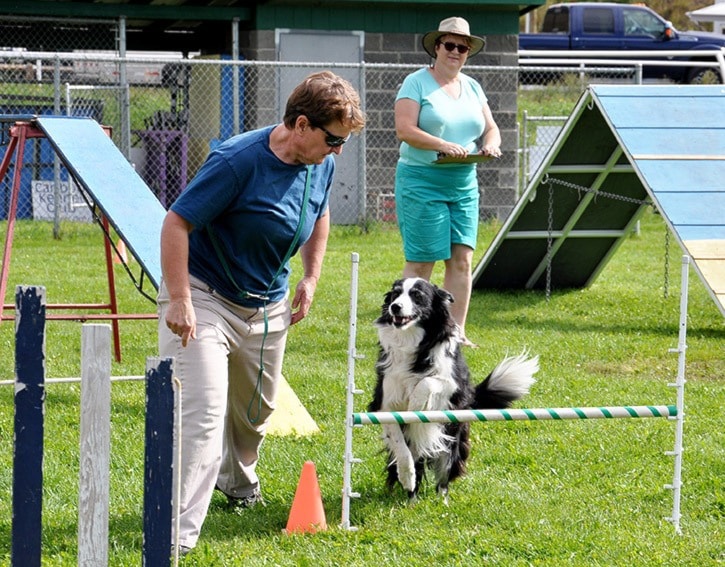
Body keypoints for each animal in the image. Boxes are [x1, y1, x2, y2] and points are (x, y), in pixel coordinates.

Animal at [368, 278, 536, 502]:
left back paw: (442, 501)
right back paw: (411, 499)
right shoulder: (385, 404)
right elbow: (401, 449)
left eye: (417, 295)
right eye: (395, 294)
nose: (395, 307)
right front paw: (407, 477)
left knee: (445, 473)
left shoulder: (454, 384)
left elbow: (427, 382)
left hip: (452, 435)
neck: (411, 341)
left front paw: (415, 403)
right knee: (416, 461)